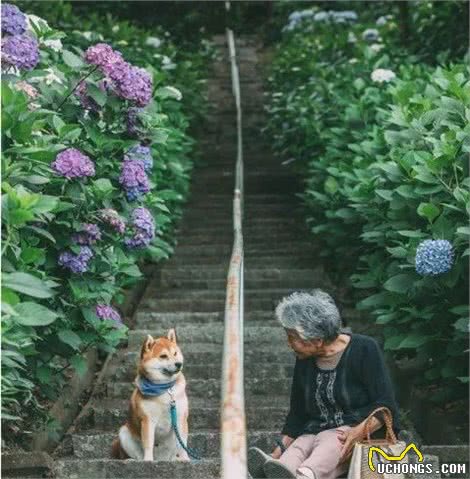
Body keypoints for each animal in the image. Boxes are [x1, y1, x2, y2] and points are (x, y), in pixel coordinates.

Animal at [111, 330, 190, 462]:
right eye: (163, 356)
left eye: (175, 353)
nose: (179, 364)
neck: (164, 389)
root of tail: (161, 458)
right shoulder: (147, 420)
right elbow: (148, 443)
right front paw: (148, 460)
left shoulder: (180, 418)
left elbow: (183, 443)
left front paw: (185, 458)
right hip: (124, 433)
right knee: (137, 455)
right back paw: (134, 460)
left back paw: (175, 458)